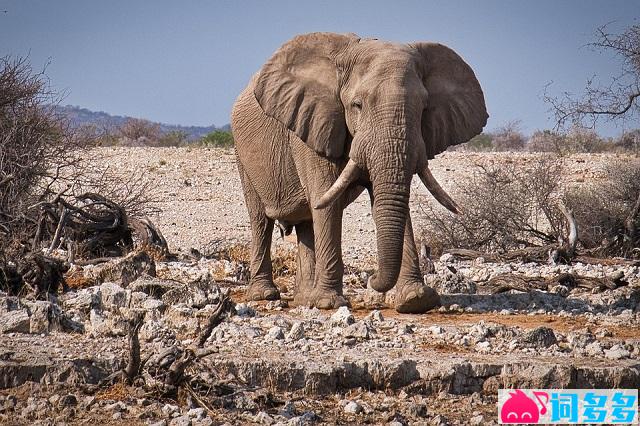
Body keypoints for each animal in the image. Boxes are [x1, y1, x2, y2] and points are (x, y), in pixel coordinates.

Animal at [232, 32, 488, 312]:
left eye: (423, 108)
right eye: (357, 105)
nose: (372, 280)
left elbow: (388, 201)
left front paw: (417, 300)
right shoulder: (313, 124)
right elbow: (326, 202)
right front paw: (329, 303)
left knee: (306, 223)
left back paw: (304, 299)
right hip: (242, 154)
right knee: (261, 220)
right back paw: (265, 295)